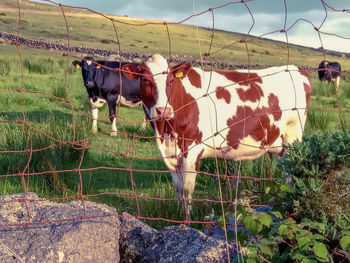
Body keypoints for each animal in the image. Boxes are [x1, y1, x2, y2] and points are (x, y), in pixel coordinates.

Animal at [123, 54, 312, 214]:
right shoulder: (171, 155)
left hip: (293, 139)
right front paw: (179, 215)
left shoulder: (192, 150)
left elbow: (187, 189)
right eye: (145, 80)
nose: (163, 110)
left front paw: (188, 219)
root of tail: (295, 69)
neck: (166, 132)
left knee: (291, 175)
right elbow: (178, 189)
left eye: (170, 81)